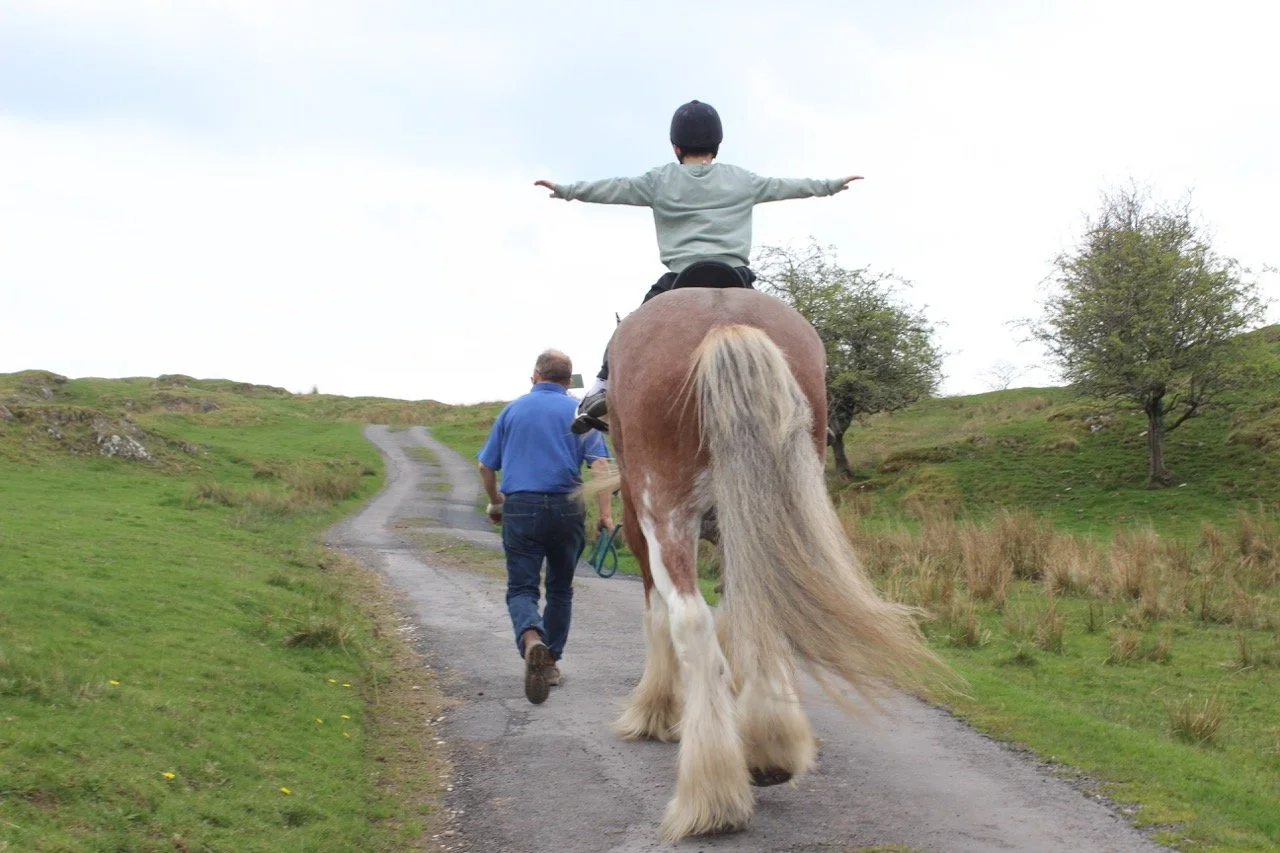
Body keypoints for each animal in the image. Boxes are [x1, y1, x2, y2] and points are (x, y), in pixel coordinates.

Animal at [597, 283, 946, 842]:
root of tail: (723, 321)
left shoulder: (636, 519)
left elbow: (658, 615)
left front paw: (653, 710)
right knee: (760, 612)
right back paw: (769, 751)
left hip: (662, 510)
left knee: (690, 621)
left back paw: (711, 796)